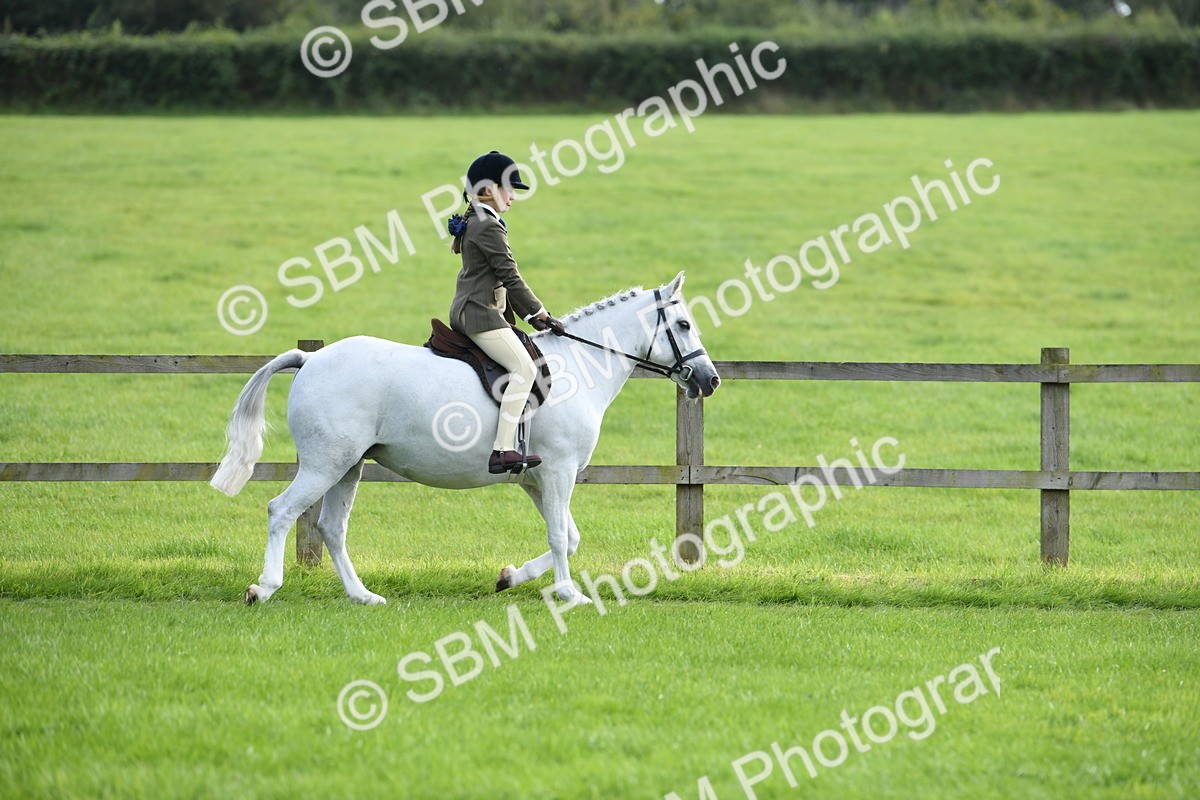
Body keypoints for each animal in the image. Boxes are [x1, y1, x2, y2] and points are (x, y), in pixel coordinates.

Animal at [209, 271, 720, 605]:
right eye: (683, 325)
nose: (709, 379)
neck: (580, 366)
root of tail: (311, 359)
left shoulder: (537, 479)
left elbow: (570, 537)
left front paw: (510, 577)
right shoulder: (558, 472)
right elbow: (560, 536)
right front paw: (568, 593)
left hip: (348, 466)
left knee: (332, 528)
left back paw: (362, 596)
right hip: (325, 465)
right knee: (281, 511)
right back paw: (264, 587)